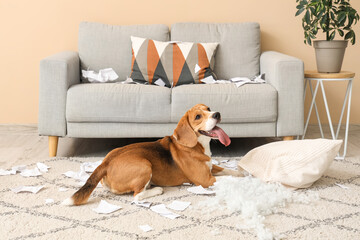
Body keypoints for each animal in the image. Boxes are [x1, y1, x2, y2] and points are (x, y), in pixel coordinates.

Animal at [62, 103, 242, 206]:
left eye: (208, 109)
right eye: (198, 116)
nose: (217, 114)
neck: (197, 145)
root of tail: (105, 163)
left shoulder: (211, 168)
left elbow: (229, 171)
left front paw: (242, 172)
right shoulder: (206, 180)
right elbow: (228, 178)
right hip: (144, 165)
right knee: (137, 196)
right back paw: (156, 190)